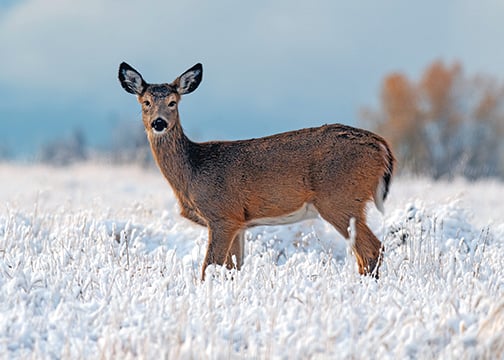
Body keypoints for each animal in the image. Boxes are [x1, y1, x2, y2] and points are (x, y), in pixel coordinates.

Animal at [118, 62, 394, 282]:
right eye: (146, 103)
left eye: (173, 102)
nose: (159, 123)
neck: (192, 170)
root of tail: (381, 145)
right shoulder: (239, 223)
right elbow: (232, 268)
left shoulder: (222, 215)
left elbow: (209, 268)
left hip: (340, 199)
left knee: (371, 250)